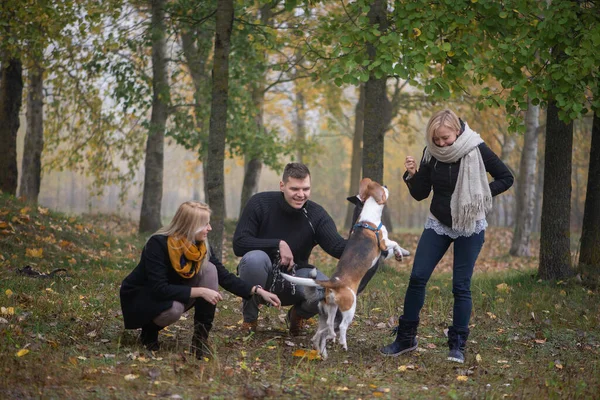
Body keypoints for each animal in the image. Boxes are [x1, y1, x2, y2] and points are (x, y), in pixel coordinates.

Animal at [282, 178, 408, 360]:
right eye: (382, 189)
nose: (385, 185)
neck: (368, 216)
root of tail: (333, 282)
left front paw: (401, 254)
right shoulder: (384, 244)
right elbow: (394, 243)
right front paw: (399, 252)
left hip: (331, 308)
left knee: (325, 329)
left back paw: (327, 347)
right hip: (350, 308)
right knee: (341, 327)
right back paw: (342, 342)